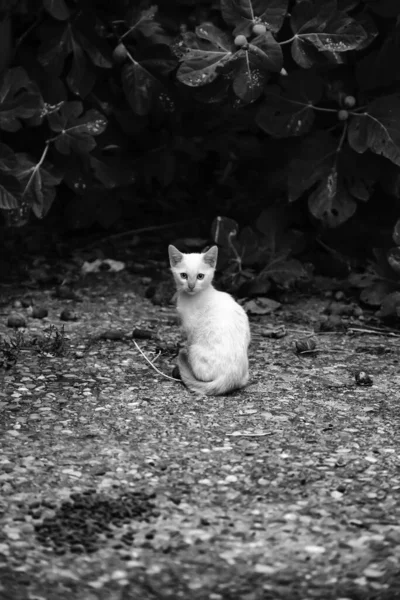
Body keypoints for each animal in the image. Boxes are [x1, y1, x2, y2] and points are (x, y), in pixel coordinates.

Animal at [168, 246, 250, 396]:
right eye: (184, 275)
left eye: (200, 276)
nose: (191, 285)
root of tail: (230, 377)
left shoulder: (191, 330)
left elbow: (188, 341)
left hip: (195, 349)